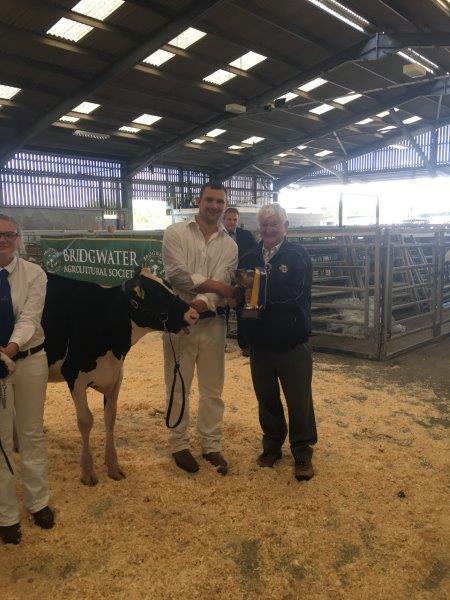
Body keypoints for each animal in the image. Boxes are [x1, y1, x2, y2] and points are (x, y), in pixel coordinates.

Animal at [42, 270, 197, 486]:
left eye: (169, 286)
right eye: (158, 294)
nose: (194, 314)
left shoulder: (116, 376)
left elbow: (110, 417)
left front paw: (113, 467)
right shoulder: (73, 374)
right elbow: (86, 421)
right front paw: (88, 472)